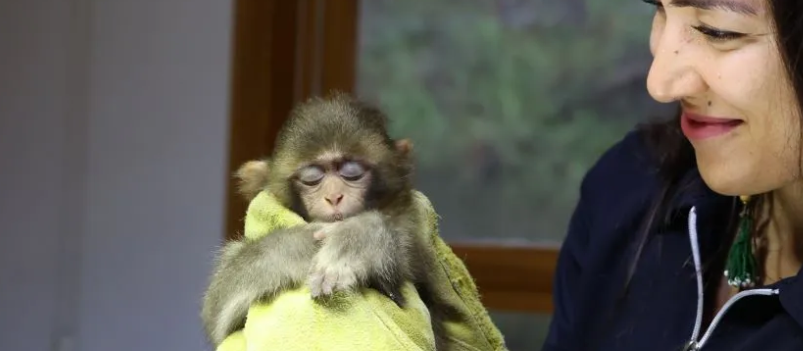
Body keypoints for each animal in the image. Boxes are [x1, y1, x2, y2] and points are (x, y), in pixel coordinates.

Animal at [198, 94, 442, 350]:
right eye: (311, 178)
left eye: (352, 172)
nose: (334, 196)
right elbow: (217, 309)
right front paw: (300, 245)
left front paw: (358, 243)